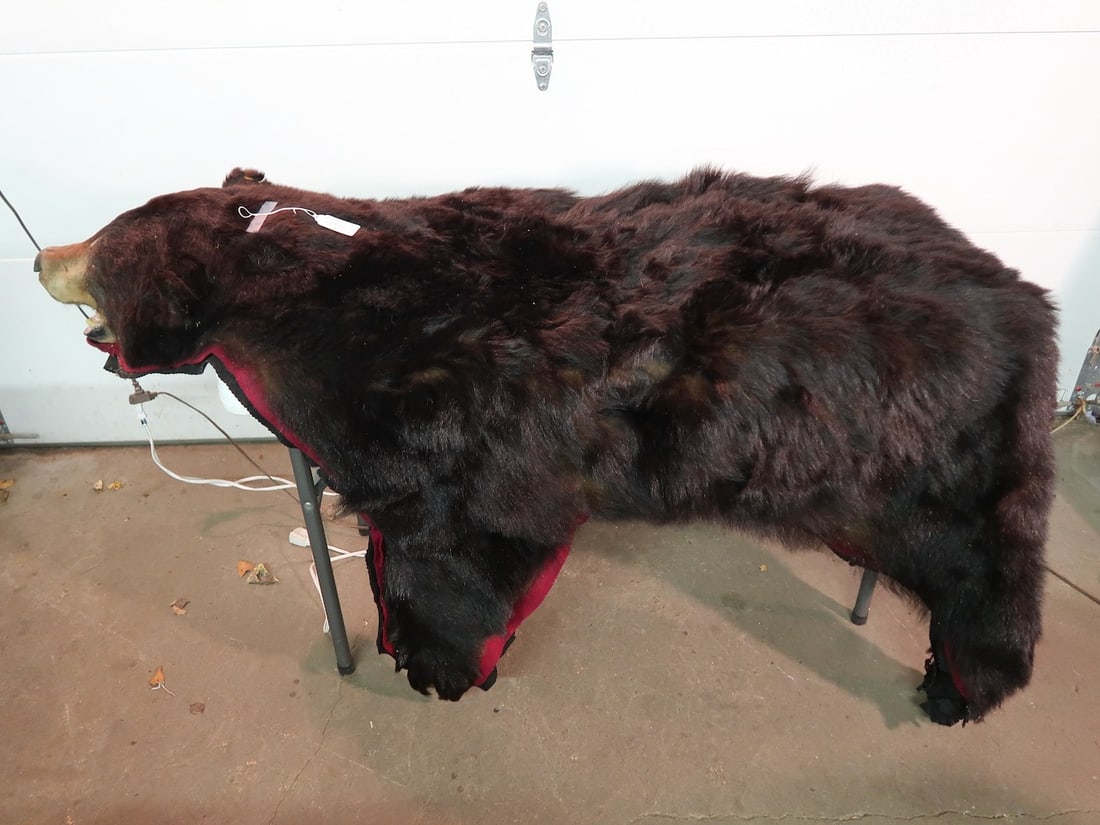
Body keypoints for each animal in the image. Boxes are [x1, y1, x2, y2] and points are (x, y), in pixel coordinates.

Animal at [35, 166, 1057, 725]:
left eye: (102, 245)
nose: (40, 254)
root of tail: (1027, 295)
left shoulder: (444, 426)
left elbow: (453, 549)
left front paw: (434, 661)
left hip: (939, 455)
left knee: (982, 569)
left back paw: (962, 683)